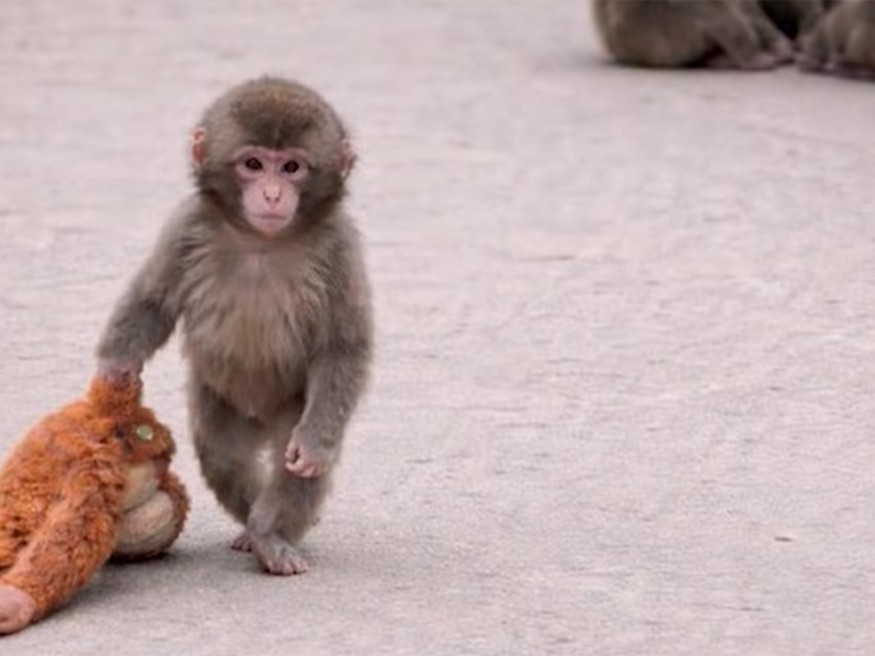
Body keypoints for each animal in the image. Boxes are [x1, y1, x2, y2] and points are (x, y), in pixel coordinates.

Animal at [95, 77, 373, 576]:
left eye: (291, 167)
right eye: (253, 164)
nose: (272, 194)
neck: (262, 241)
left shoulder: (339, 248)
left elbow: (343, 348)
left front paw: (313, 446)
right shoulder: (185, 227)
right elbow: (153, 300)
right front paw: (115, 367)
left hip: (291, 404)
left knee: (292, 463)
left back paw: (271, 535)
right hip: (221, 401)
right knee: (222, 456)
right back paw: (251, 526)